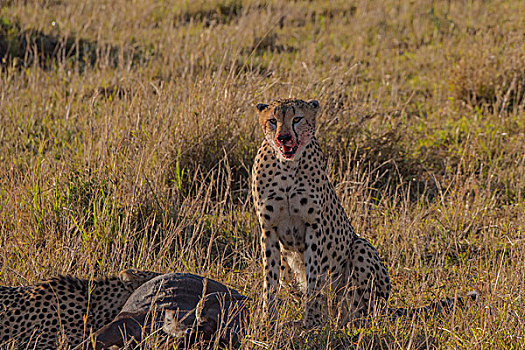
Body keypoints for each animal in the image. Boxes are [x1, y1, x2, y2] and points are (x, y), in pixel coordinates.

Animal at [252, 98, 390, 326]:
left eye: (297, 119)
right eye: (272, 120)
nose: (284, 137)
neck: (288, 166)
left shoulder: (313, 227)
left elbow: (314, 277)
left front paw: (312, 320)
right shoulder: (268, 229)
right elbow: (270, 278)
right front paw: (267, 320)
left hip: (360, 246)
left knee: (360, 307)